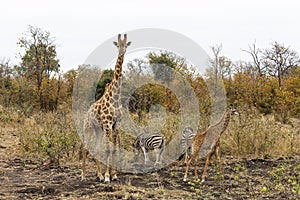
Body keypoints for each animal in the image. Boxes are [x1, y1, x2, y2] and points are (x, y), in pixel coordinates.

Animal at [81, 33, 131, 184]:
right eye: (118, 45)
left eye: (126, 45)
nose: (122, 52)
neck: (115, 97)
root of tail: (86, 113)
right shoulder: (107, 124)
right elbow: (108, 149)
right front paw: (108, 176)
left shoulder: (116, 125)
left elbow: (114, 149)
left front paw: (113, 175)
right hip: (88, 128)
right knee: (85, 147)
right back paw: (83, 175)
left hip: (98, 130)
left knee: (96, 148)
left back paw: (99, 175)